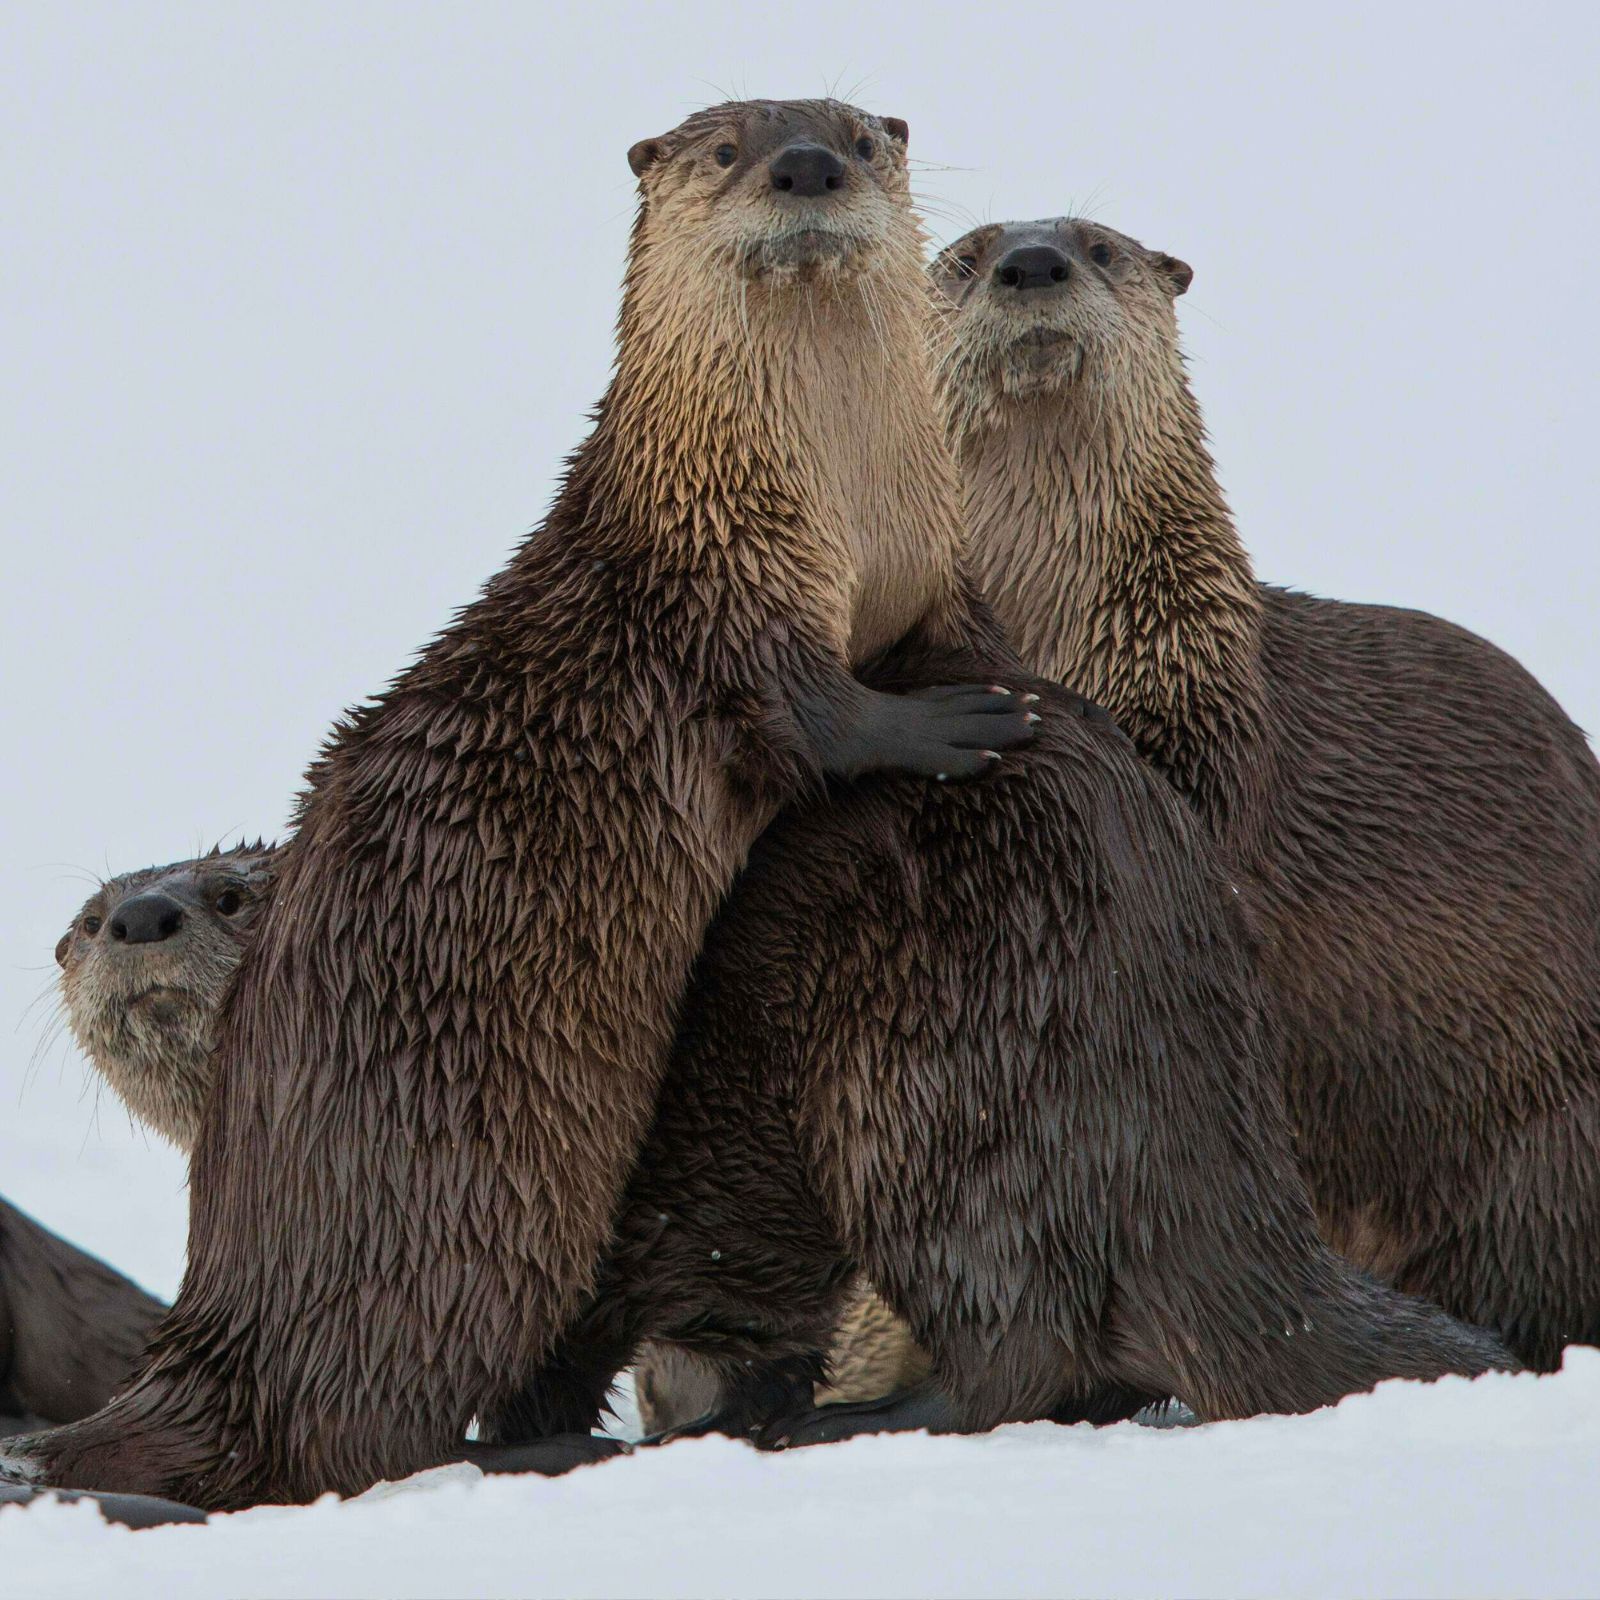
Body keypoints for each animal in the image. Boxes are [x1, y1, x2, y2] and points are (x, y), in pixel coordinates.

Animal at [0, 98, 1033, 1511]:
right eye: (724, 151)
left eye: (860, 138)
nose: (805, 165)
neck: (836, 511)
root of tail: (222, 1342)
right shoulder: (720, 596)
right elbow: (815, 715)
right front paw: (959, 721)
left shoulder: (912, 562)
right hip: (483, 1218)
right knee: (377, 1435)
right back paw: (557, 1447)